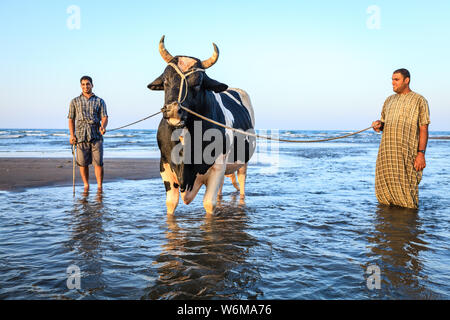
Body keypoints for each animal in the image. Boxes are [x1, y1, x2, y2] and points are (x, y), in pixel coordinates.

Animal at [147, 35, 255, 215]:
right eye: (166, 80)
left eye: (197, 83)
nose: (173, 110)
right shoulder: (165, 165)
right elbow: (171, 203)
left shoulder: (217, 166)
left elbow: (209, 204)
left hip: (243, 162)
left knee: (242, 183)